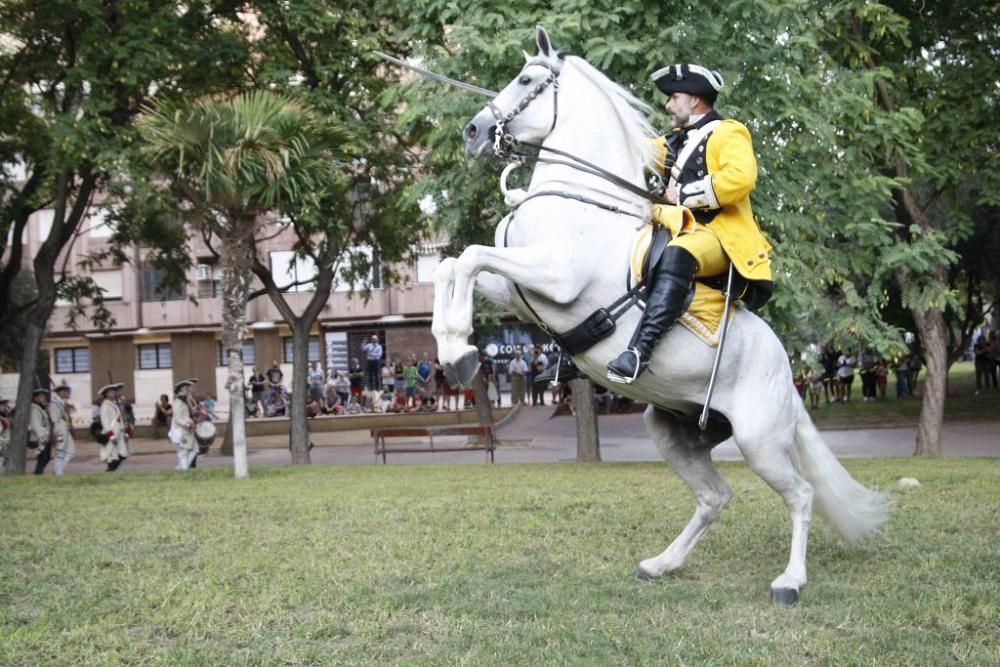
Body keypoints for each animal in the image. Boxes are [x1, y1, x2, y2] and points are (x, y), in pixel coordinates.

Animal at [432, 27, 892, 604]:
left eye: (528, 79)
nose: (473, 132)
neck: (582, 198)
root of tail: (788, 376)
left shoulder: (555, 277)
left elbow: (469, 256)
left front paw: (458, 350)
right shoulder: (518, 289)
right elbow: (453, 265)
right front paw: (456, 350)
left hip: (760, 442)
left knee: (802, 495)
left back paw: (790, 581)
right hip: (673, 431)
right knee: (715, 497)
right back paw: (661, 563)